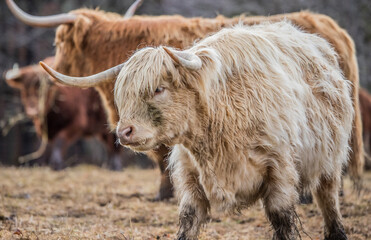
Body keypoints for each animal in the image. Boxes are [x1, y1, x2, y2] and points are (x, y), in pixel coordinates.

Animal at [40, 21, 354, 239]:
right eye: (122, 94)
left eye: (159, 89)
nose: (123, 132)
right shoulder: (191, 177)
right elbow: (188, 220)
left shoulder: (280, 172)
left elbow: (282, 219)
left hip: (330, 162)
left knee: (329, 202)